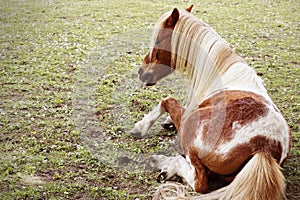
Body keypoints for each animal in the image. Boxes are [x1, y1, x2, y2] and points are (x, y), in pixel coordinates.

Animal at [130, 5, 292, 199]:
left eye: (159, 40)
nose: (141, 72)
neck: (221, 72)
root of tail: (264, 147)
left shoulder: (185, 117)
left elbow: (167, 101)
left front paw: (140, 127)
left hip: (189, 130)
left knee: (198, 180)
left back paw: (160, 162)